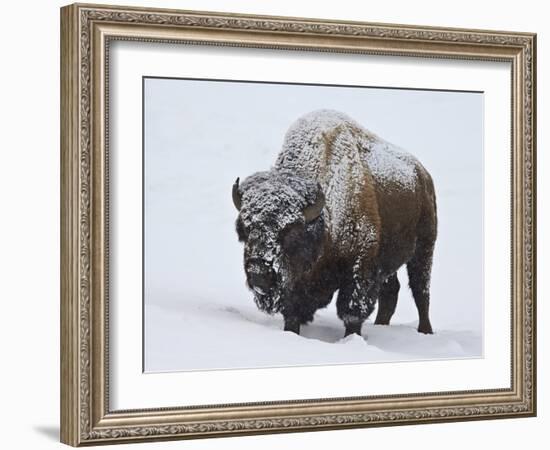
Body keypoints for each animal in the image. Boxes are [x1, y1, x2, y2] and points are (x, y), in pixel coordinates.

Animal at [233, 110, 440, 338]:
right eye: (245, 230)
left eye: (291, 232)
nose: (258, 272)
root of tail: (423, 174)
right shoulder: (297, 284)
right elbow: (292, 312)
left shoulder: (359, 267)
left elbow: (352, 312)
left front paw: (352, 338)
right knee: (391, 291)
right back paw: (381, 325)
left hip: (424, 249)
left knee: (421, 291)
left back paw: (425, 331)